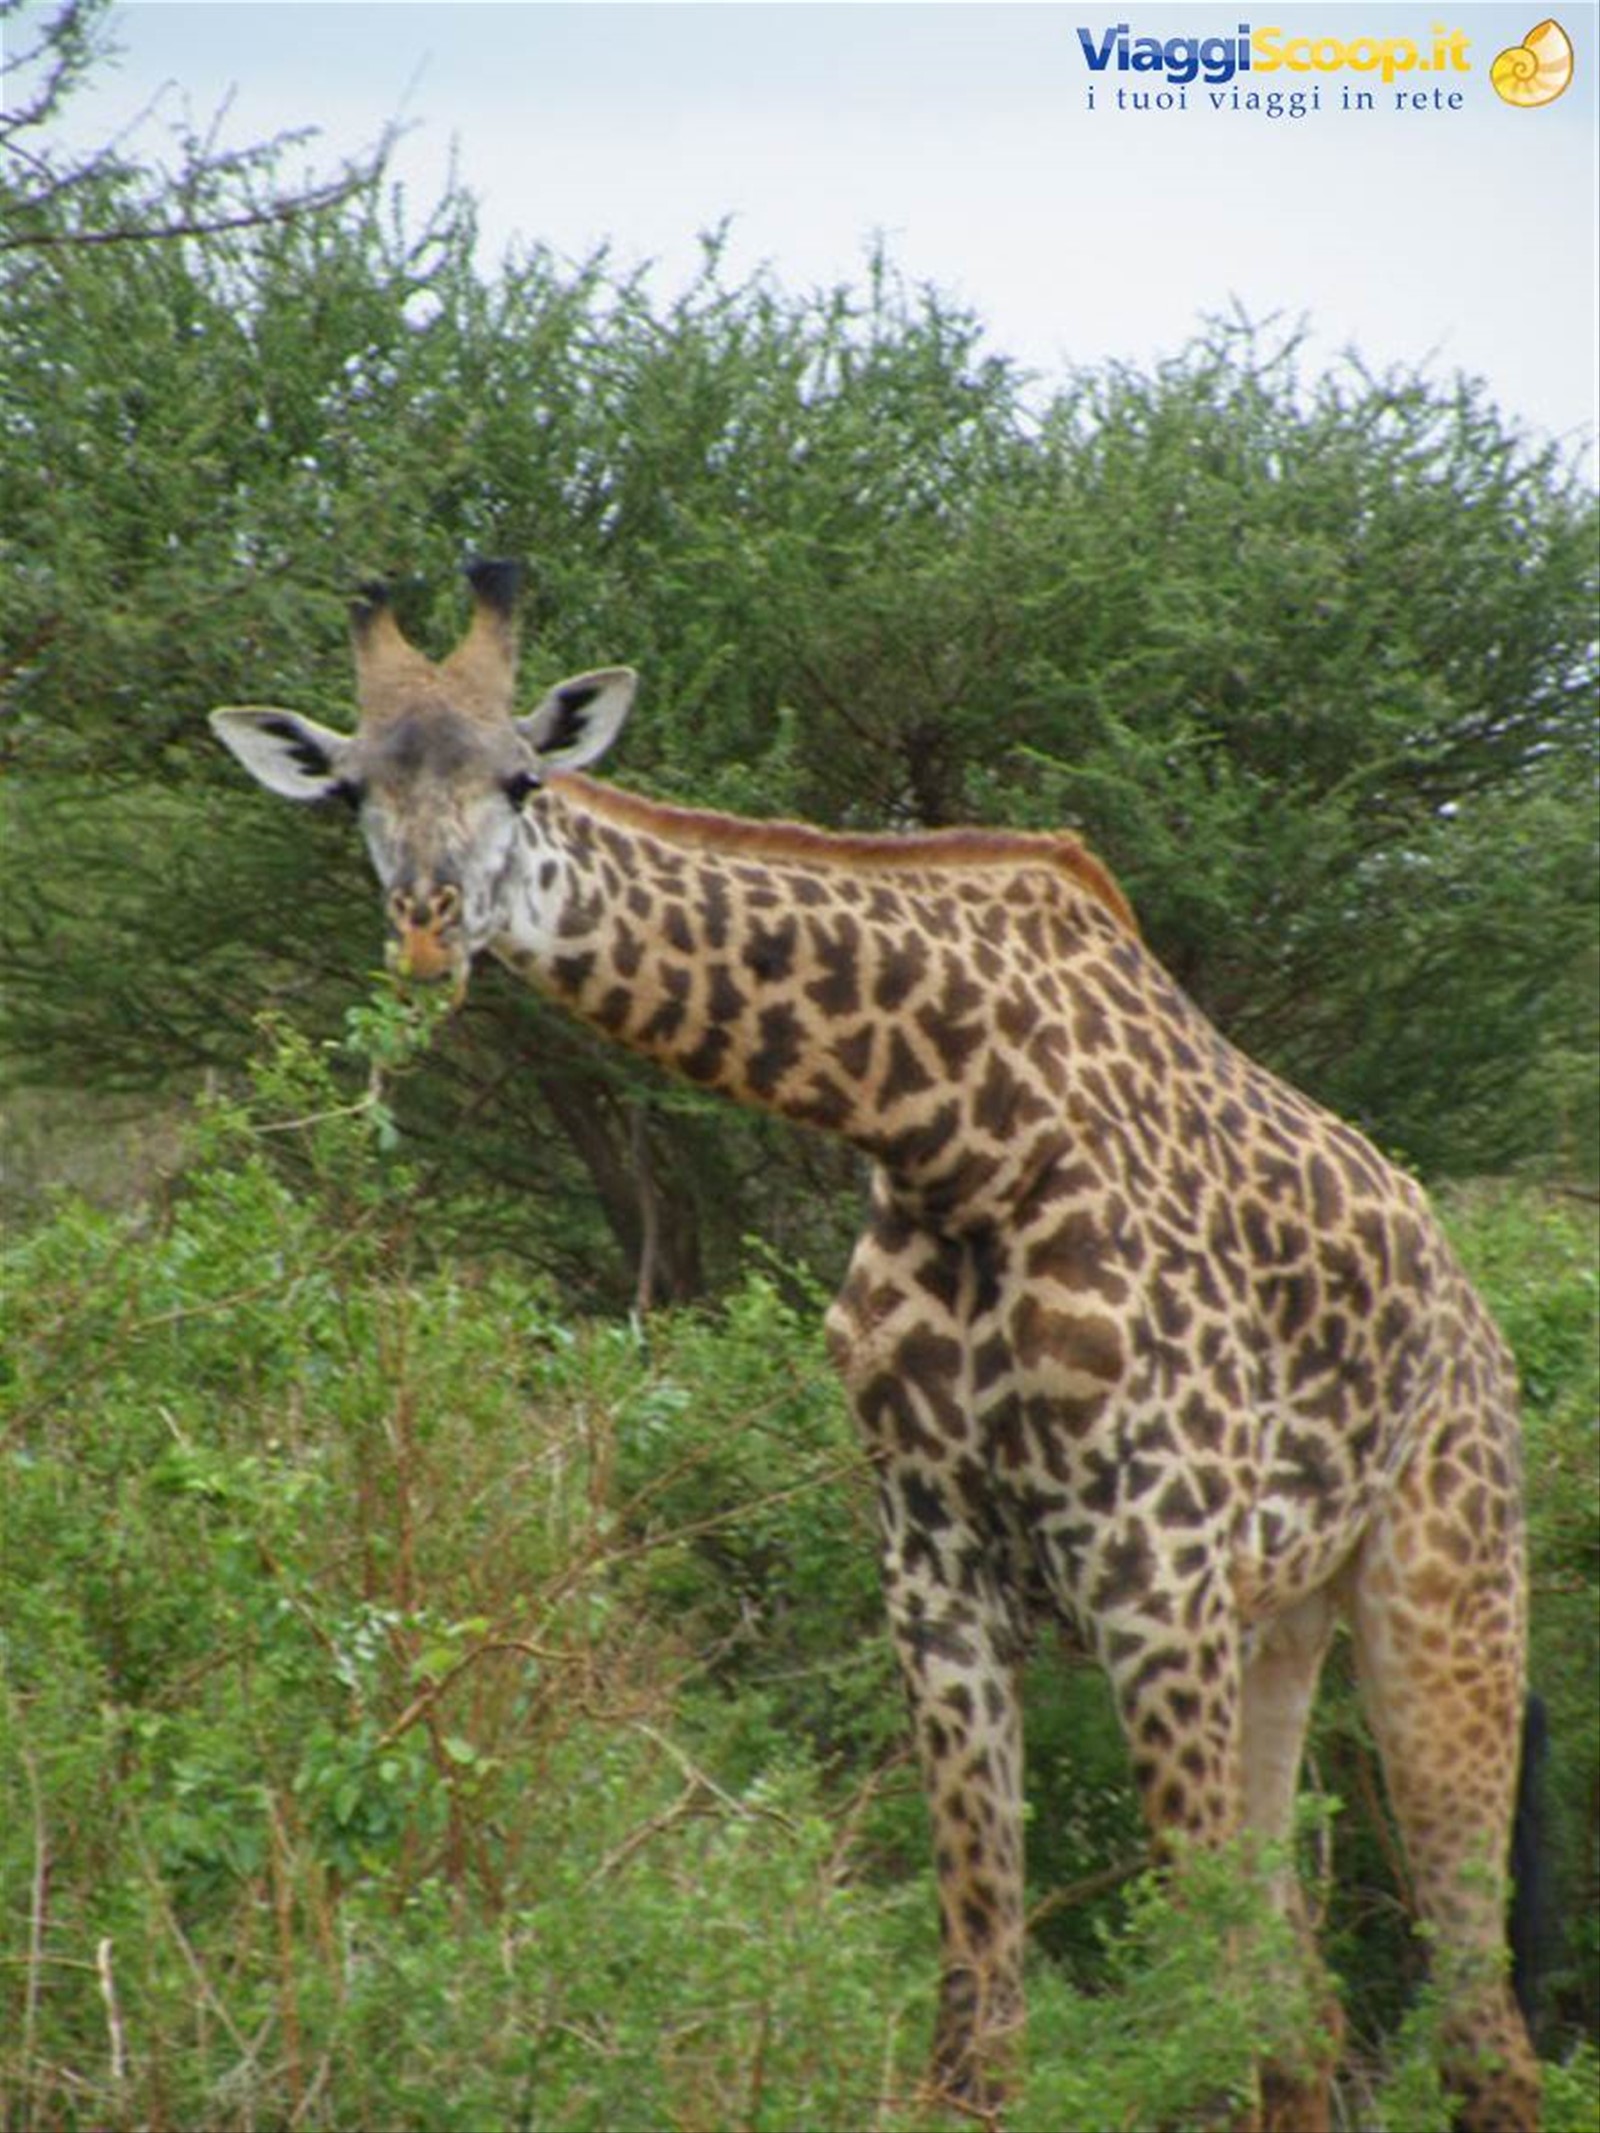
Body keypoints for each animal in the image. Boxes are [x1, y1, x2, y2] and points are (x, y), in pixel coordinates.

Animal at [211, 560, 1540, 2130]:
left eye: (523, 777)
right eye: (351, 790)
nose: (425, 932)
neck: (957, 1126)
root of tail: (1472, 1313)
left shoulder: (1151, 1573)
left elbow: (1196, 2013)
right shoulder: (933, 1577)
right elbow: (981, 2012)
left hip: (1441, 1579)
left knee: (1471, 2014)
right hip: (1279, 1620)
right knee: (1311, 2007)